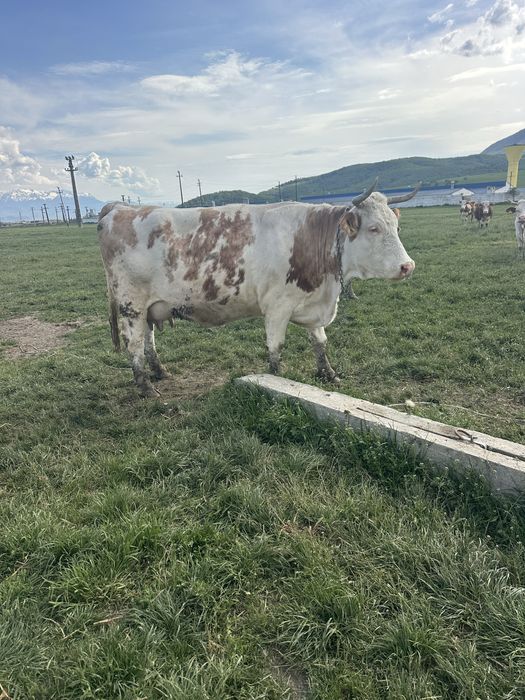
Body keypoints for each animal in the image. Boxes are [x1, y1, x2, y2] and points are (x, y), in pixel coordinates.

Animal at [98, 180, 418, 396]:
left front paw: (329, 374)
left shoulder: (313, 301)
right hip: (131, 304)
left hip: (150, 307)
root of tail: (119, 208)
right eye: (374, 228)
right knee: (134, 345)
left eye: (396, 227)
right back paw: (145, 387)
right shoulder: (277, 306)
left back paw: (160, 372)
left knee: (148, 341)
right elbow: (276, 349)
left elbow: (320, 342)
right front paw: (278, 381)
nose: (408, 266)